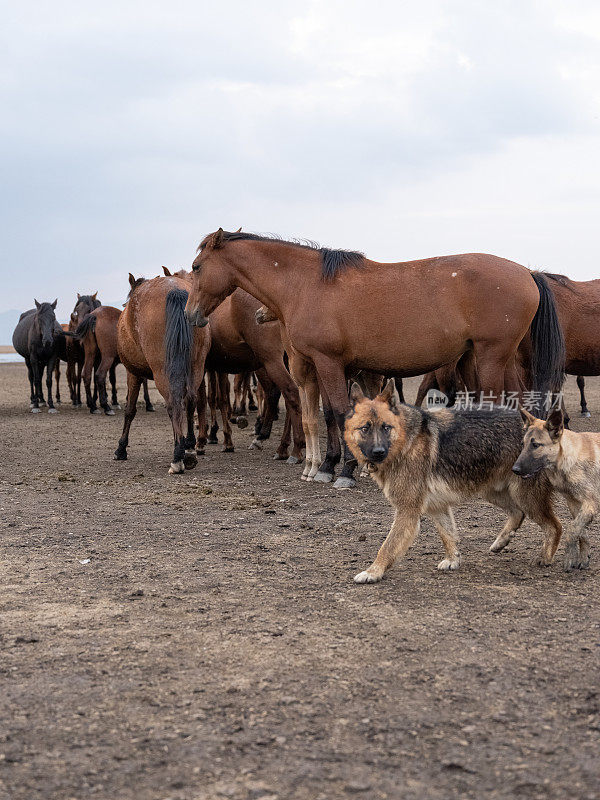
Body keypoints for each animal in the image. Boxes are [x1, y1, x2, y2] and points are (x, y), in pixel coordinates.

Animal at [115, 276, 211, 476]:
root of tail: (175, 290)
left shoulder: (132, 373)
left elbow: (129, 410)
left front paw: (121, 448)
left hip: (162, 372)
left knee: (174, 404)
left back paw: (178, 457)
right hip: (196, 366)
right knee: (190, 401)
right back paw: (189, 448)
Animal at [185, 230, 564, 488]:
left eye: (196, 266)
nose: (190, 315)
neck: (306, 285)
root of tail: (528, 272)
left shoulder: (329, 363)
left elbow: (340, 414)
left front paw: (343, 470)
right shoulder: (325, 367)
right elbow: (328, 414)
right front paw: (329, 466)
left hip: (490, 356)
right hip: (500, 357)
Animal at [344, 380, 560, 580]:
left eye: (386, 428)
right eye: (365, 428)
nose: (378, 452)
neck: (406, 441)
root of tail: (543, 426)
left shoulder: (407, 511)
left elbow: (387, 546)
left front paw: (373, 571)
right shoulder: (437, 507)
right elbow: (448, 535)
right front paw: (453, 559)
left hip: (525, 496)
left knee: (555, 527)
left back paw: (545, 558)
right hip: (494, 492)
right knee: (517, 512)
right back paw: (501, 541)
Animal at [510, 410, 596, 572]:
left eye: (535, 445)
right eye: (523, 444)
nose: (515, 470)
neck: (567, 457)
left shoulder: (590, 504)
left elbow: (572, 530)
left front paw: (569, 557)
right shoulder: (575, 504)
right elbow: (581, 532)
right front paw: (583, 558)